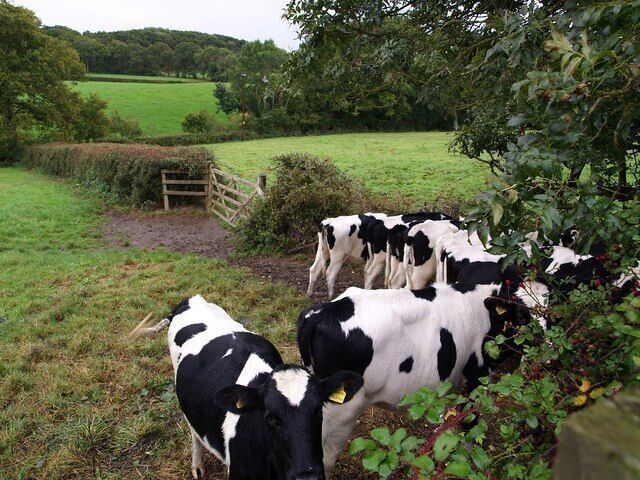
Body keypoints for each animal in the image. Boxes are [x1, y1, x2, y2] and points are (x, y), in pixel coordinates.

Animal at [130, 295, 363, 480]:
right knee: (194, 432)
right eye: (271, 417)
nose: (308, 476)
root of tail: (191, 299)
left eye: (318, 413)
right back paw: (197, 466)